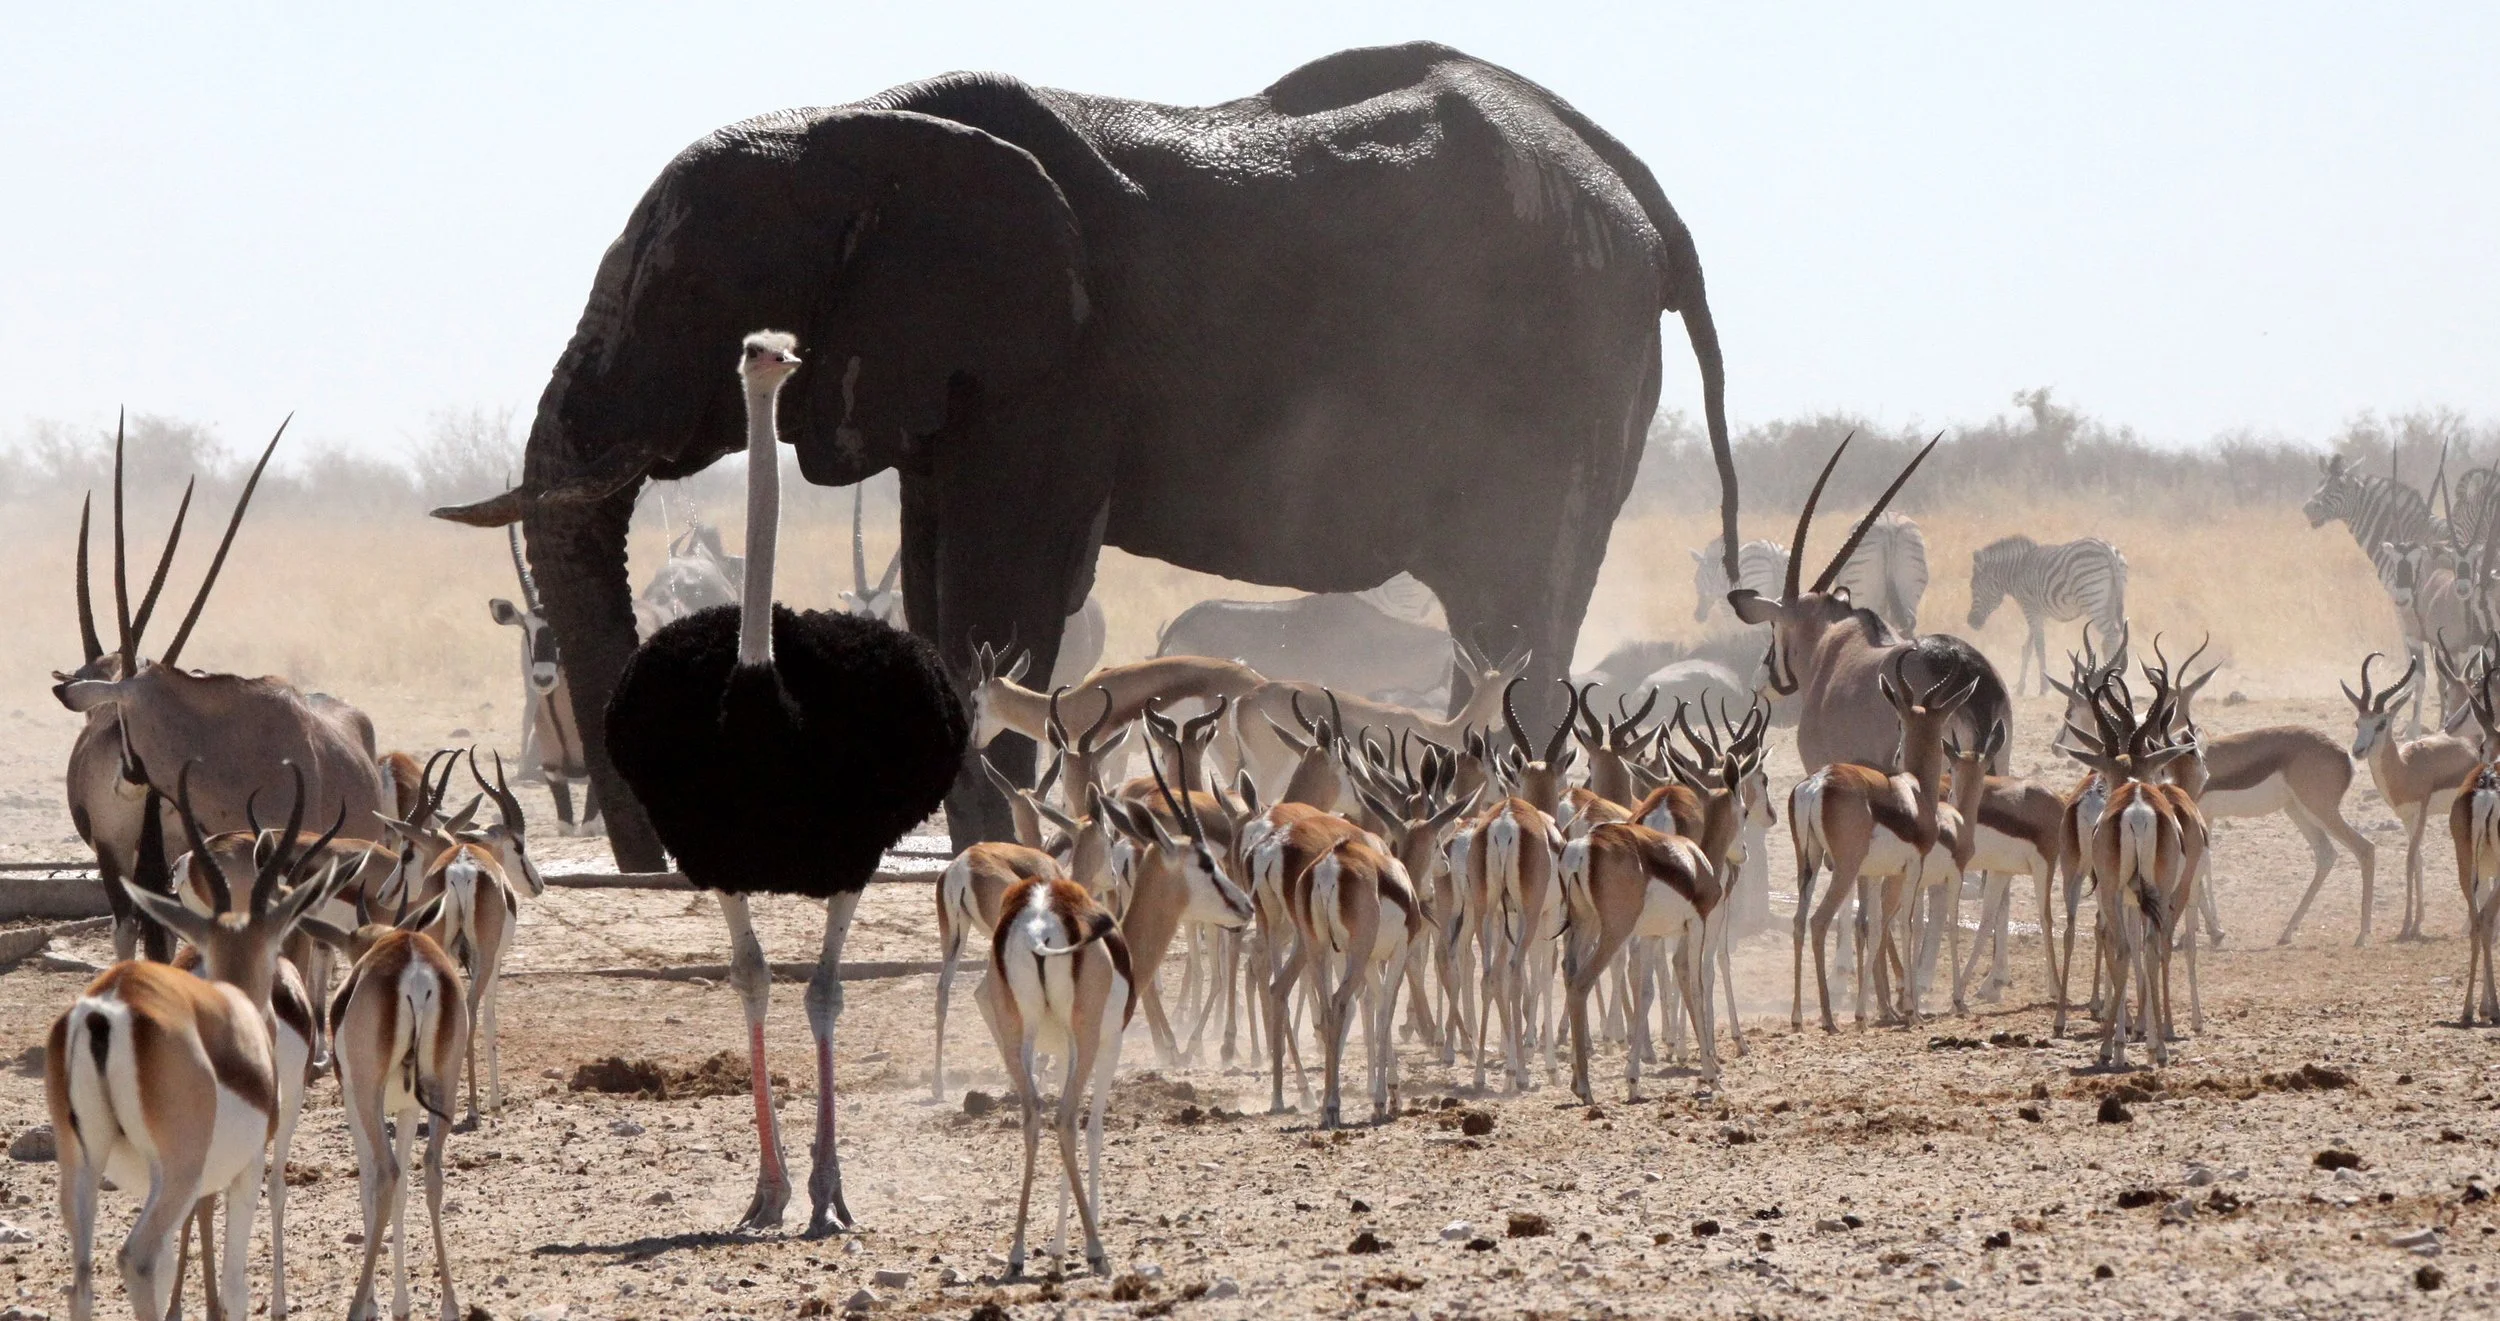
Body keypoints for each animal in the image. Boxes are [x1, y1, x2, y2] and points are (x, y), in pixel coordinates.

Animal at [435, 41, 1733, 864]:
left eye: (689, 296)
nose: (645, 852)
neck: (856, 126)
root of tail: (1637, 190)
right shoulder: (937, 372)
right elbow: (935, 583)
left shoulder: (1056, 369)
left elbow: (1003, 589)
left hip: (1560, 366)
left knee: (1519, 606)